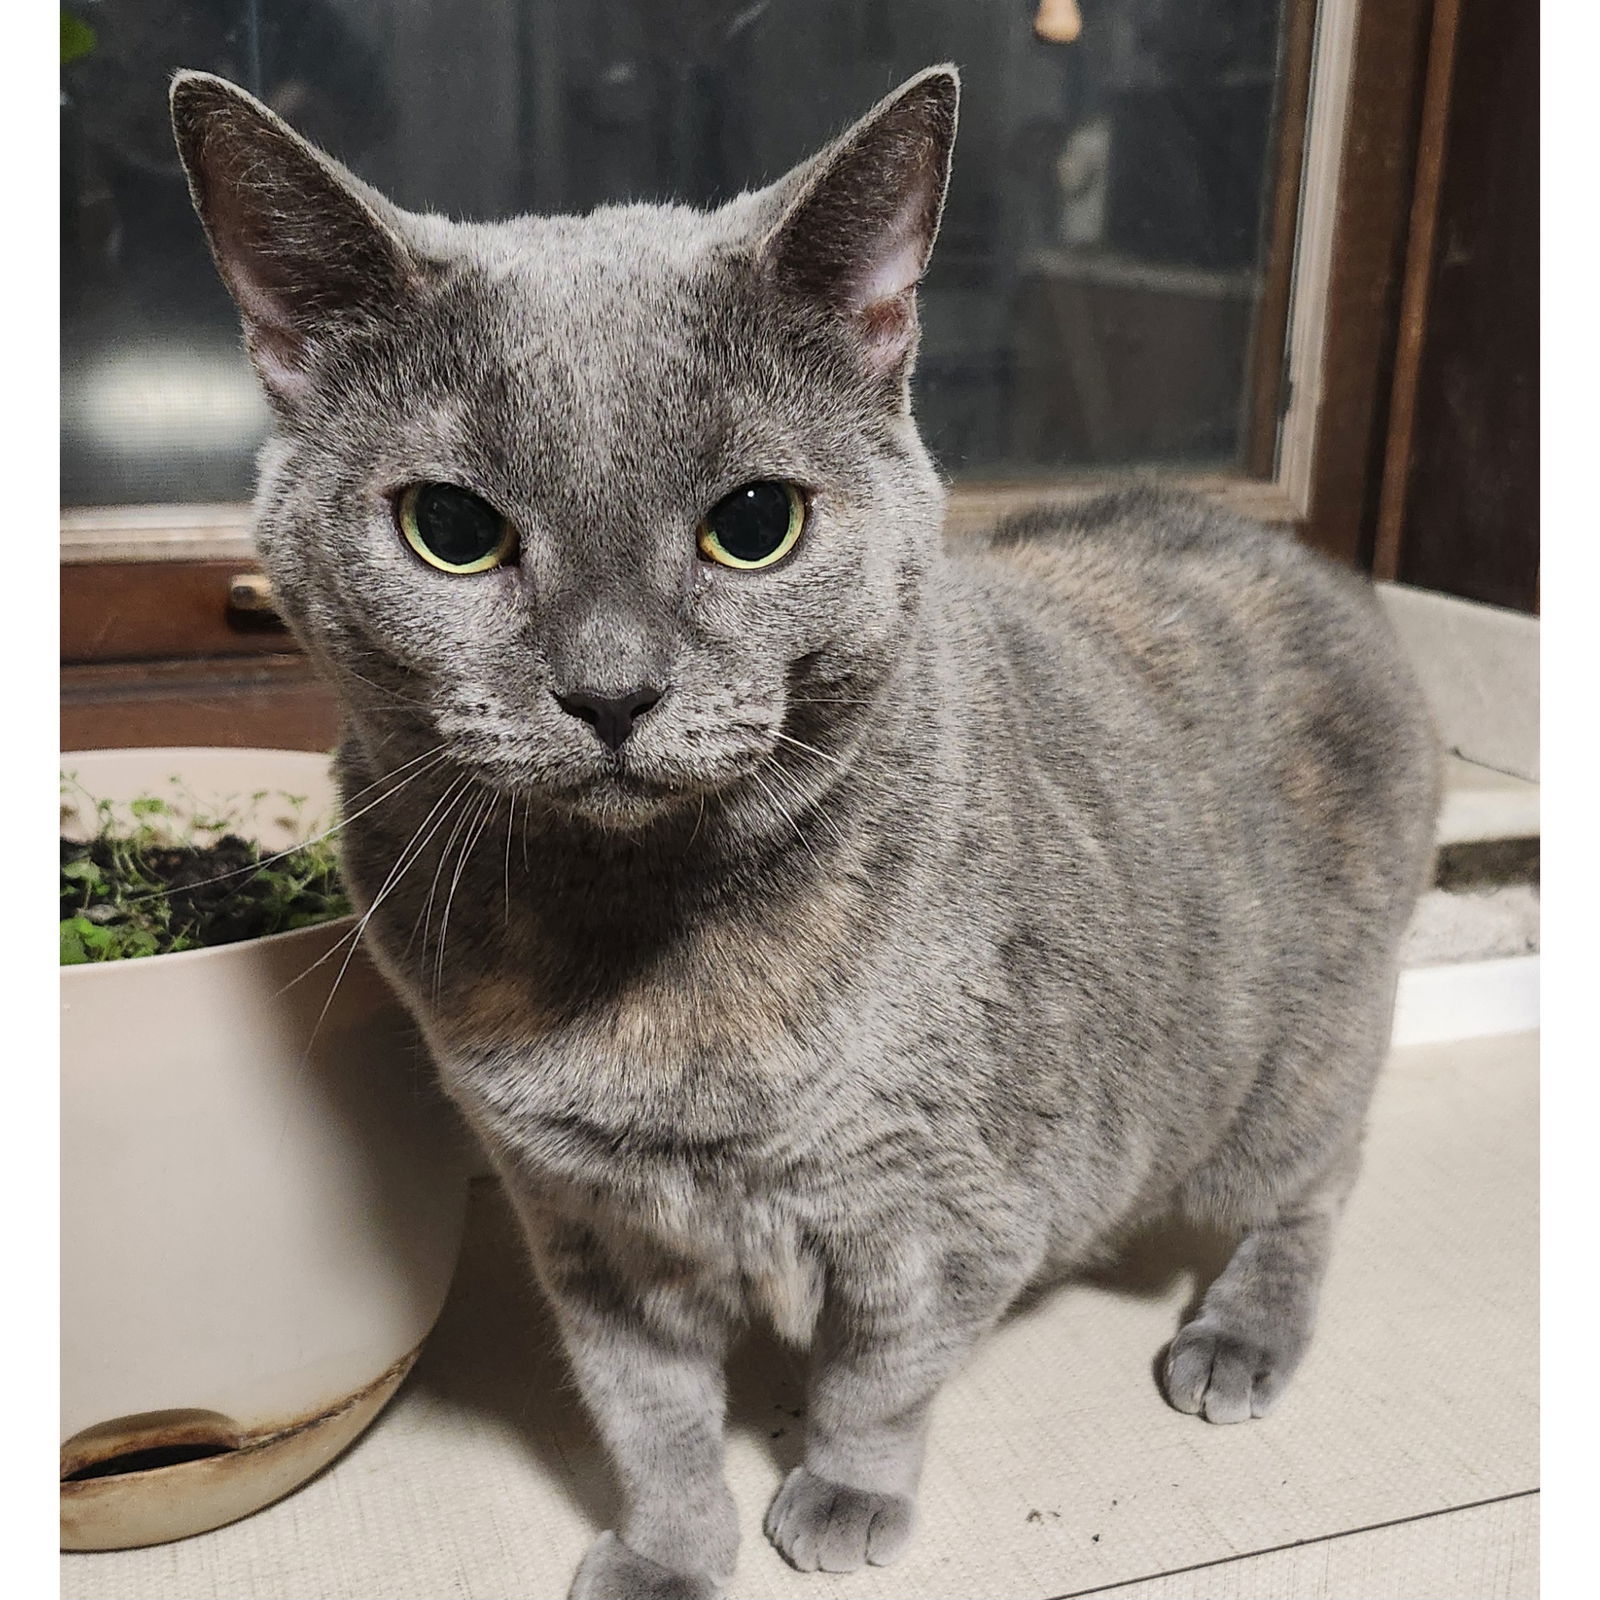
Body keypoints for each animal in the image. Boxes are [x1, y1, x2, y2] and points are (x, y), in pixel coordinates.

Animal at [175, 65, 1440, 1600]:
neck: (643, 959)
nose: (612, 691)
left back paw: (1235, 1341)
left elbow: (875, 1380)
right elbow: (648, 1416)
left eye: (755, 524)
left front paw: (840, 1503)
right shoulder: (583, 1225)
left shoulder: (950, 1209)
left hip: (1296, 1062)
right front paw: (666, 1555)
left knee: (1319, 1183)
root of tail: (1308, 557)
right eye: (453, 530)